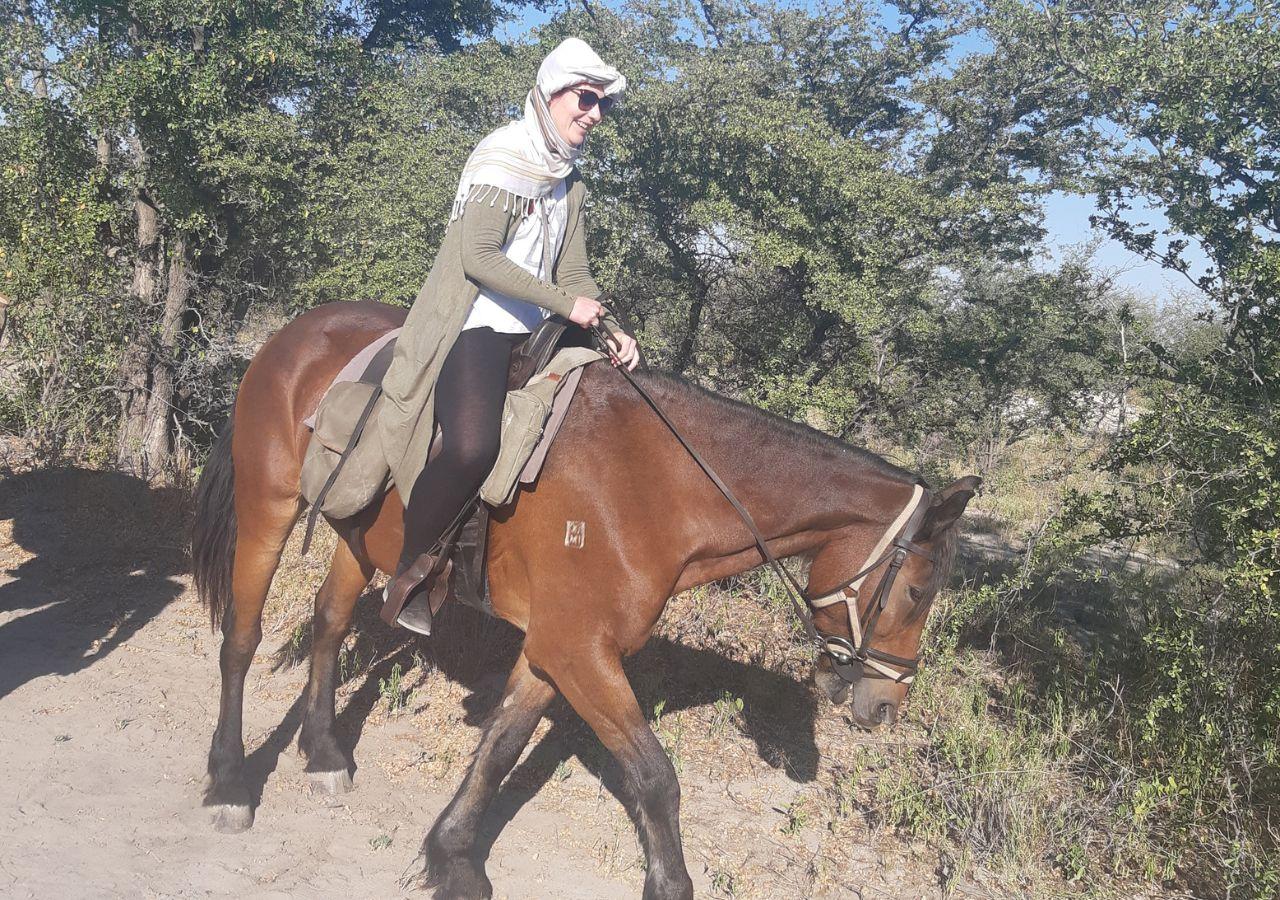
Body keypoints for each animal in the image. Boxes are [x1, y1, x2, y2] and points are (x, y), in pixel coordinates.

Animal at [190, 300, 980, 899]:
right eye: (915, 591)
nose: (886, 706)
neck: (658, 485)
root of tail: (295, 331)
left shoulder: (556, 650)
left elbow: (502, 746)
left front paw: (452, 856)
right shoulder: (578, 651)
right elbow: (655, 777)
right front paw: (670, 884)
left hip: (360, 537)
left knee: (327, 623)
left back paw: (324, 752)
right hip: (268, 509)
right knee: (241, 639)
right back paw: (229, 781)